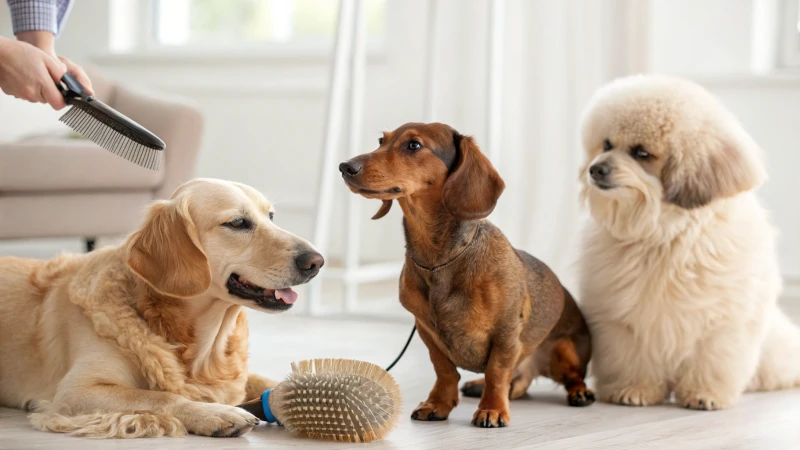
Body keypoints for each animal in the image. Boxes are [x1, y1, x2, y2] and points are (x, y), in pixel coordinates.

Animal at [0, 178, 324, 436]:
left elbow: (265, 380)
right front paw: (215, 413)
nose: (316, 261)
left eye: (271, 216)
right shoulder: (77, 389)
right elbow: (157, 397)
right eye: (237, 223)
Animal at [338, 124, 592, 428]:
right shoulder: (427, 332)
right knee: (517, 383)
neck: (438, 261)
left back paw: (579, 392)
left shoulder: (506, 331)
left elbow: (496, 372)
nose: (345, 166)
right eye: (381, 141)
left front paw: (492, 409)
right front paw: (437, 404)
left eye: (413, 145)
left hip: (566, 350)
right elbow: (445, 370)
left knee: (570, 377)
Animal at [576, 75, 800, 410]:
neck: (662, 233)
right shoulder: (623, 319)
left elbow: (711, 359)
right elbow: (632, 359)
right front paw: (634, 390)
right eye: (606, 144)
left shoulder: (722, 323)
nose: (596, 169)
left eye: (641, 153)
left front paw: (705, 394)